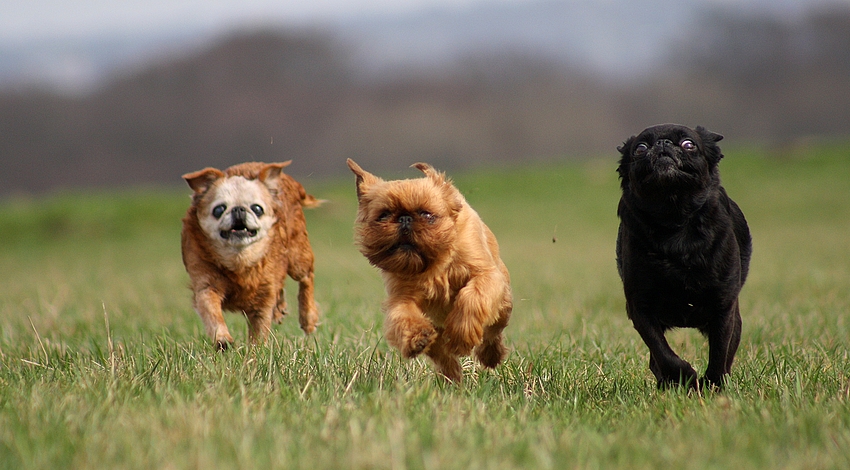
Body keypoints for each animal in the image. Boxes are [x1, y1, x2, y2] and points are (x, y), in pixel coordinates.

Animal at [181, 162, 320, 348]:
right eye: (219, 209)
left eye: (257, 208)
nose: (239, 209)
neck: (240, 258)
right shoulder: (206, 285)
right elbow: (211, 312)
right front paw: (222, 339)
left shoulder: (262, 298)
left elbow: (259, 329)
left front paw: (257, 351)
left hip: (298, 259)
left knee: (306, 278)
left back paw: (308, 318)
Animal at [616, 124, 748, 390]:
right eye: (640, 148)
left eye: (689, 144)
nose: (663, 143)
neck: (674, 220)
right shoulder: (640, 309)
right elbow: (662, 351)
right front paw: (684, 376)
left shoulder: (723, 307)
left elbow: (719, 351)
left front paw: (713, 385)